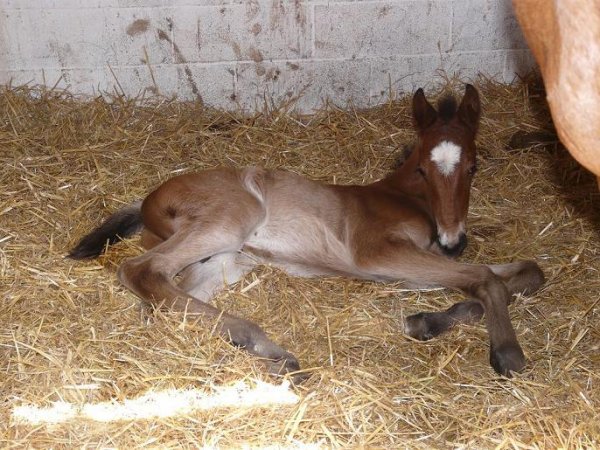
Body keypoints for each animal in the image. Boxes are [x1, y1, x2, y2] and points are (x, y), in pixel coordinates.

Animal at [69, 84, 544, 380]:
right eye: (424, 169)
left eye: (474, 167)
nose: (453, 242)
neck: (403, 196)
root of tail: (148, 200)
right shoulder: (376, 253)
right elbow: (484, 277)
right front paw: (507, 352)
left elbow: (525, 272)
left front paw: (425, 320)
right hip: (232, 219)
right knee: (141, 271)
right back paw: (263, 343)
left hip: (227, 258)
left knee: (165, 301)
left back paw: (261, 350)